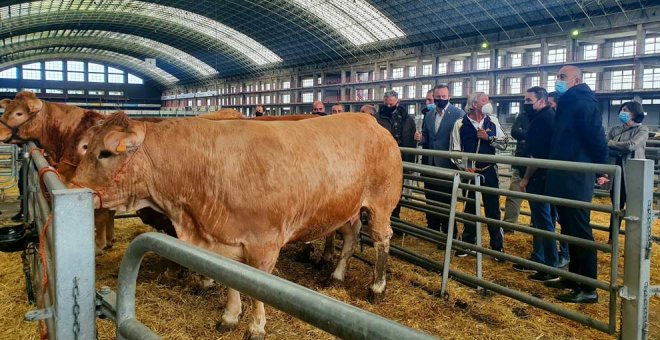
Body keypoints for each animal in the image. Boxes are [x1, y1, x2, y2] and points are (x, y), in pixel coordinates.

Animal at [73, 112, 402, 340]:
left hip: (381, 204)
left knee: (382, 239)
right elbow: (232, 281)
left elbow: (257, 288)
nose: (72, 186)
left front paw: (256, 327)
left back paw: (376, 287)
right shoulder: (224, 243)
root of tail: (370, 120)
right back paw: (335, 275)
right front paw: (230, 317)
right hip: (345, 210)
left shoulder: (265, 244)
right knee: (350, 238)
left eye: (104, 152)